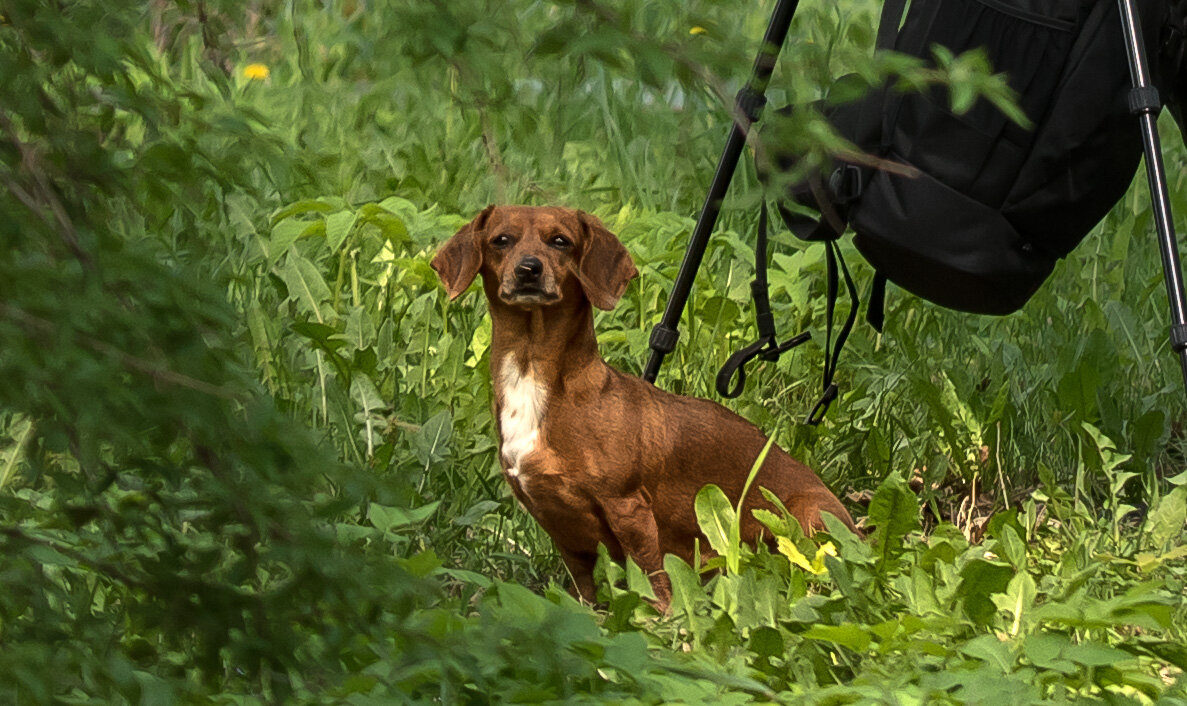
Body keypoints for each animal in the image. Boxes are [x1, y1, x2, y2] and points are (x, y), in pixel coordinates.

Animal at [432, 207, 859, 612]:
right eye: (501, 240)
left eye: (561, 241)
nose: (528, 269)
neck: (535, 375)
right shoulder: (558, 524)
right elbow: (584, 589)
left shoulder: (629, 508)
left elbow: (651, 575)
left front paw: (663, 620)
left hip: (806, 519)